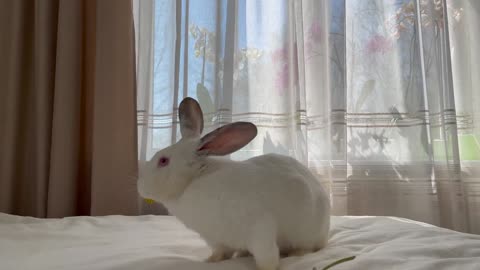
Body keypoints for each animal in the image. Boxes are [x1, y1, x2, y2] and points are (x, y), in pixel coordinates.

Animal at [138, 97, 330, 270]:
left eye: (163, 161)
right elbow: (221, 253)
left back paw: (296, 253)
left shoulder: (260, 228)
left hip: (306, 232)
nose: (140, 186)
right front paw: (210, 261)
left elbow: (267, 257)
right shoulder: (216, 240)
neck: (195, 179)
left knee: (308, 247)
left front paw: (267, 268)